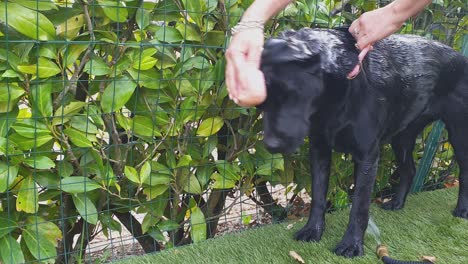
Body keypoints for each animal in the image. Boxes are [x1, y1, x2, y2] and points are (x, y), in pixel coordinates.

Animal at [260, 28, 468, 258]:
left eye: (293, 93)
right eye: (262, 100)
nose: (271, 145)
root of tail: (460, 57)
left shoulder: (367, 157)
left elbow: (359, 205)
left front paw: (351, 244)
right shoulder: (319, 150)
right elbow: (318, 196)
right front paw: (312, 230)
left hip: (459, 132)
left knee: (464, 172)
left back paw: (462, 210)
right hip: (402, 137)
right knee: (409, 170)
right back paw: (396, 203)